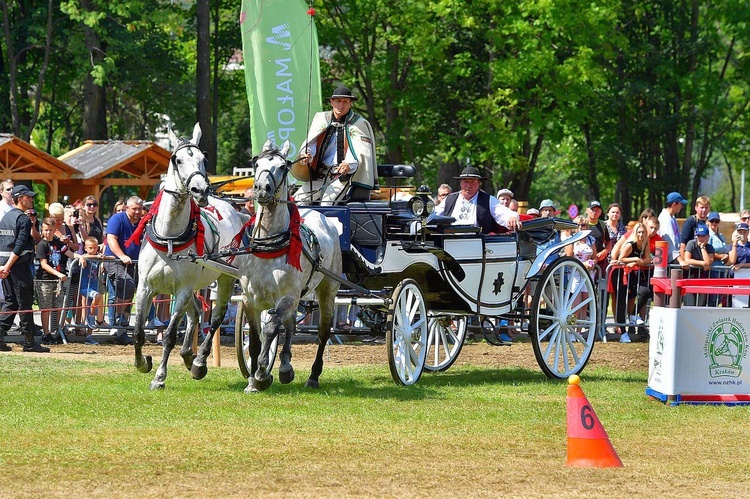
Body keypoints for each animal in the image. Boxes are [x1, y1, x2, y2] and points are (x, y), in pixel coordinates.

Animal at [132, 124, 250, 390]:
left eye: (203, 159)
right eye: (177, 159)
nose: (200, 190)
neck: (170, 238)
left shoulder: (183, 288)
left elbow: (170, 335)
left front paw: (160, 377)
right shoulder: (145, 287)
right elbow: (138, 332)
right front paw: (142, 363)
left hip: (225, 278)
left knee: (215, 317)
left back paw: (198, 362)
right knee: (196, 312)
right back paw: (188, 355)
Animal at [236, 139, 342, 392]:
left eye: (283, 167)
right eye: (256, 163)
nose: (261, 189)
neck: (269, 245)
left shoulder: (286, 296)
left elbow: (270, 329)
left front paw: (262, 373)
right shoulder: (250, 300)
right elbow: (254, 340)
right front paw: (253, 381)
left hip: (327, 289)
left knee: (323, 331)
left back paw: (313, 376)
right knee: (291, 325)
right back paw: (285, 368)